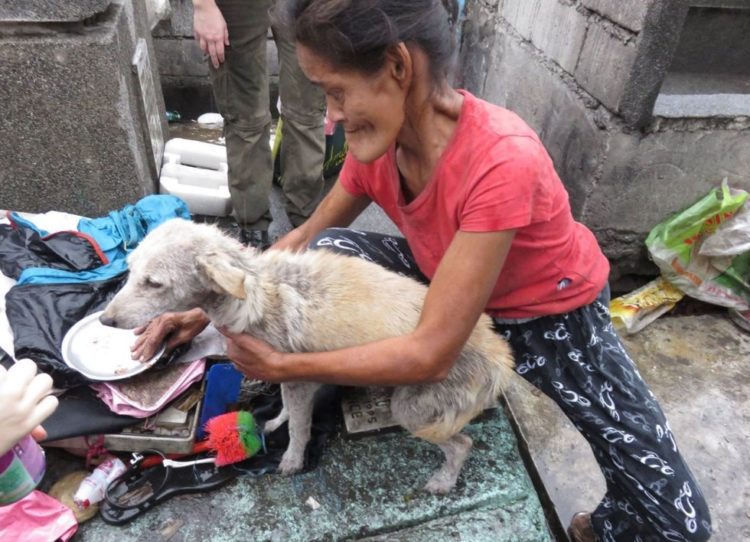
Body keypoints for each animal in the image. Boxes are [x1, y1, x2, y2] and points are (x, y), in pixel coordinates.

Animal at [101, 219, 516, 496]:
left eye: (154, 283)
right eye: (130, 271)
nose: (105, 320)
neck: (253, 291)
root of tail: (501, 357)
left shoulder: (294, 374)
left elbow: (300, 427)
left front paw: (291, 459)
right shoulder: (280, 371)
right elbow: (285, 406)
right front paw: (272, 424)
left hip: (412, 410)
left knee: (462, 444)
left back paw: (445, 479)